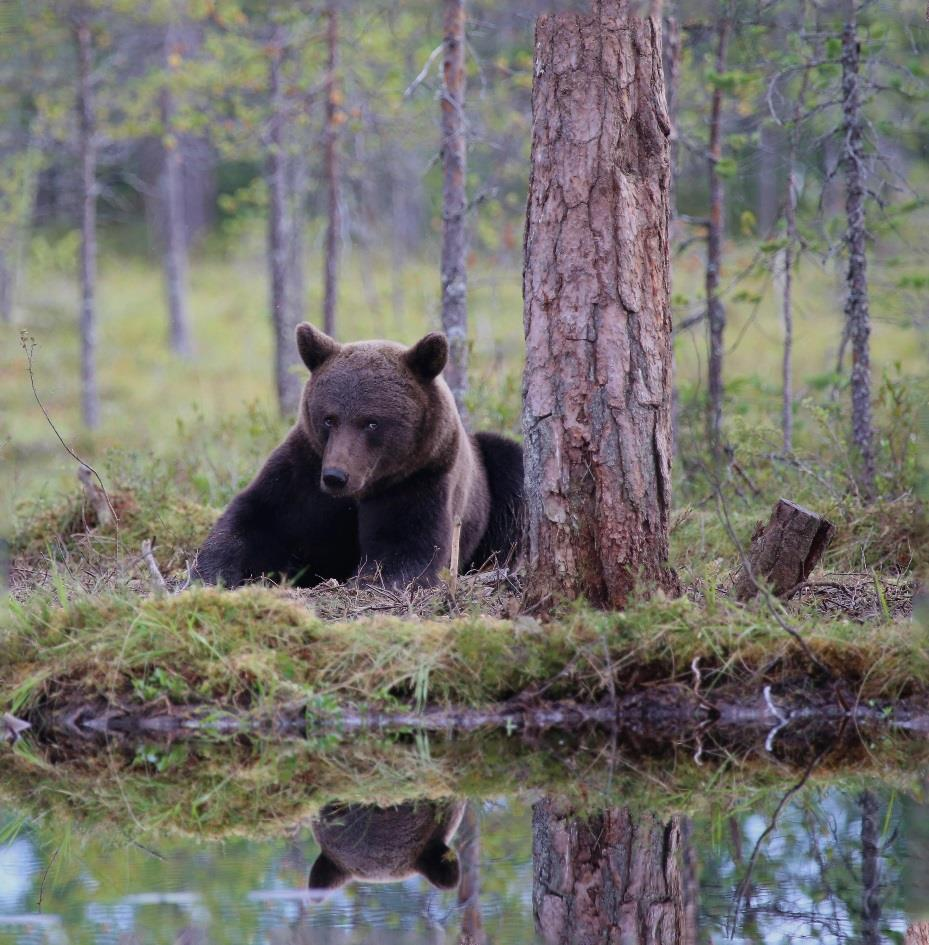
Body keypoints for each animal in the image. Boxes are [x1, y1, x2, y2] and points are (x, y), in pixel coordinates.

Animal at [190, 324, 520, 592]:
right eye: (329, 419)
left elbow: (409, 546)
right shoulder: (305, 471)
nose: (336, 476)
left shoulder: (421, 478)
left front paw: (370, 580)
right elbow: (257, 520)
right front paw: (211, 573)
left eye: (372, 422)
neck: (364, 489)